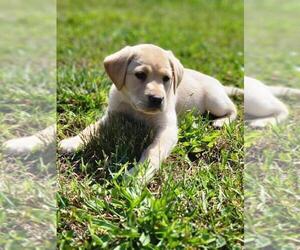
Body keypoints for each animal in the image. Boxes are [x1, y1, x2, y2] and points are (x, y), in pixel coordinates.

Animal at [58, 44, 237, 183]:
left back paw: (221, 122)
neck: (137, 109)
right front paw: (73, 142)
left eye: (166, 78)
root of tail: (219, 84)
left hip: (215, 101)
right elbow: (90, 128)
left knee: (233, 109)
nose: (157, 99)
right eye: (140, 75)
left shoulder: (167, 129)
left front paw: (138, 175)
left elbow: (152, 152)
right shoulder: (111, 116)